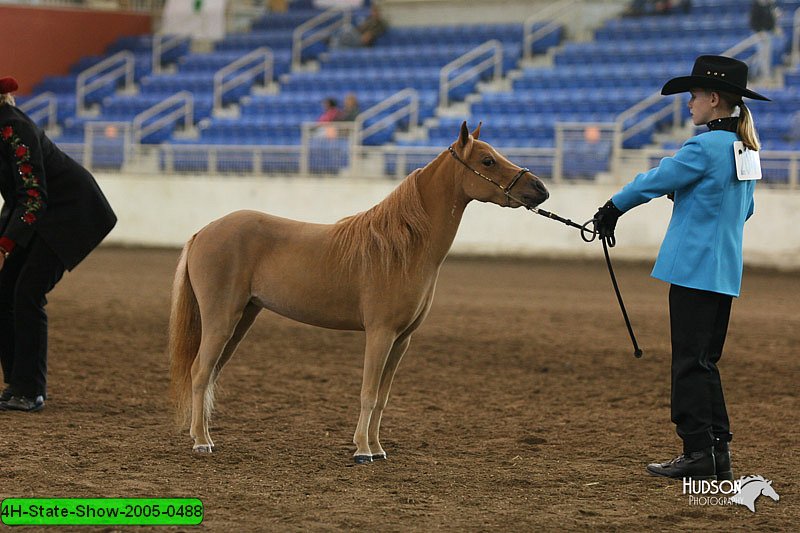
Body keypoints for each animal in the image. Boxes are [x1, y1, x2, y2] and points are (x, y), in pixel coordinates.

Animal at [170, 122, 552, 464]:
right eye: (487, 160)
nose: (540, 189)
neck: (404, 247)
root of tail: (204, 232)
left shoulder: (402, 340)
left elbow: (382, 397)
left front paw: (378, 448)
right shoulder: (380, 333)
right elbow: (368, 393)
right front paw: (363, 450)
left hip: (242, 319)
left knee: (211, 373)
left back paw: (203, 436)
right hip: (222, 319)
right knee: (200, 372)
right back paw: (201, 443)